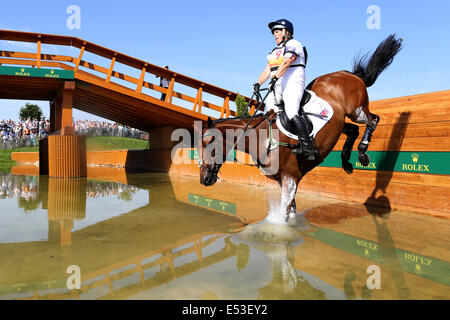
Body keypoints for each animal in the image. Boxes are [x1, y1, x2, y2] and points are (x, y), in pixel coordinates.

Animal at [199, 33, 402, 222]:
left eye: (210, 143)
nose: (204, 179)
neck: (262, 137)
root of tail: (348, 74)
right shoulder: (283, 181)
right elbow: (291, 212)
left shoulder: (290, 178)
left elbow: (284, 216)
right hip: (339, 122)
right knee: (353, 130)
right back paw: (346, 162)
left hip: (356, 111)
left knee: (373, 120)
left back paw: (363, 154)